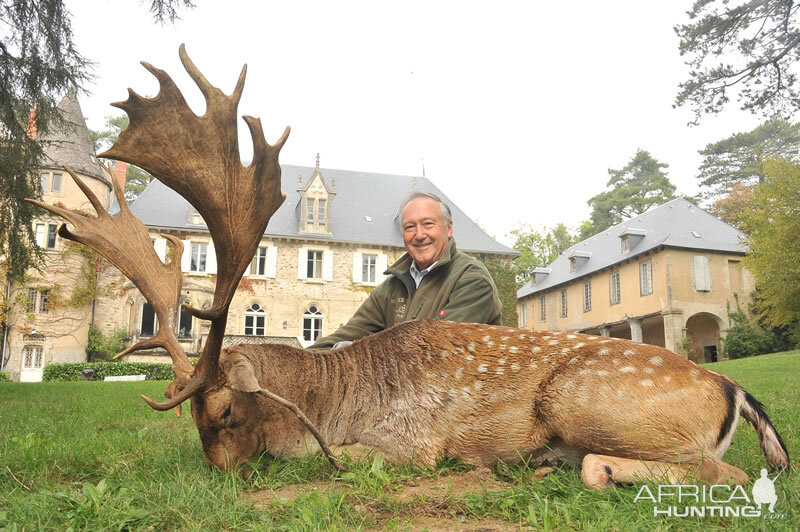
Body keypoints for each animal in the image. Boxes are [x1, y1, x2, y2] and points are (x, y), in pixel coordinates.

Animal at [29, 45, 788, 490]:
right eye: (192, 419)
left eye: (223, 411)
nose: (217, 477)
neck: (335, 402)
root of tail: (733, 387)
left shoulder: (411, 442)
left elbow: (351, 458)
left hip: (590, 396)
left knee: (724, 471)